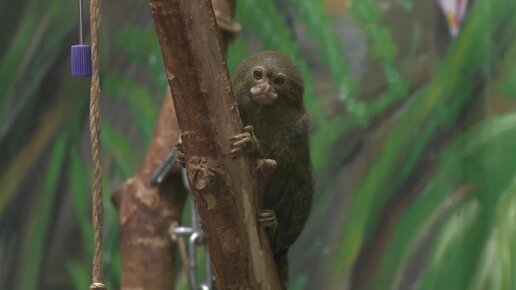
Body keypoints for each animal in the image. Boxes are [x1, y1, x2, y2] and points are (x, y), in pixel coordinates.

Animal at [231, 50, 314, 288]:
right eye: (258, 75)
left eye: (278, 81)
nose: (265, 89)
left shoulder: (297, 129)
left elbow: (286, 164)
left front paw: (253, 145)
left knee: (301, 181)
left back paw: (272, 229)